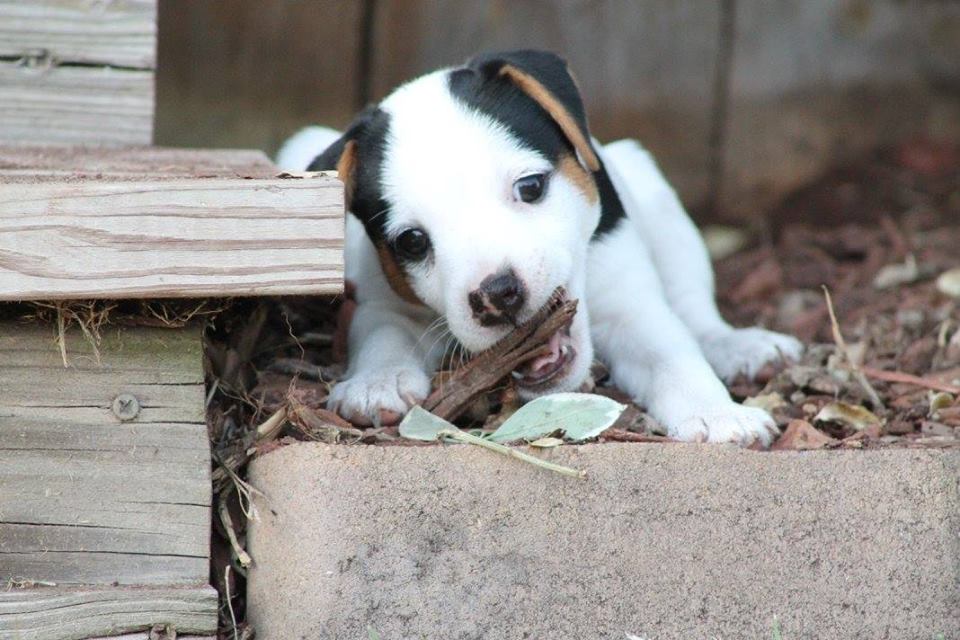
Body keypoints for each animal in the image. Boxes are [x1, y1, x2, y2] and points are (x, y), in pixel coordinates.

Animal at [280, 50, 804, 444]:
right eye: (412, 241)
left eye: (529, 187)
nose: (497, 295)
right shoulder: (383, 302)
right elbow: (382, 336)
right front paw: (377, 381)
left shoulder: (631, 304)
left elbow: (672, 352)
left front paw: (717, 413)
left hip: (661, 205)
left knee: (694, 308)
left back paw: (739, 345)